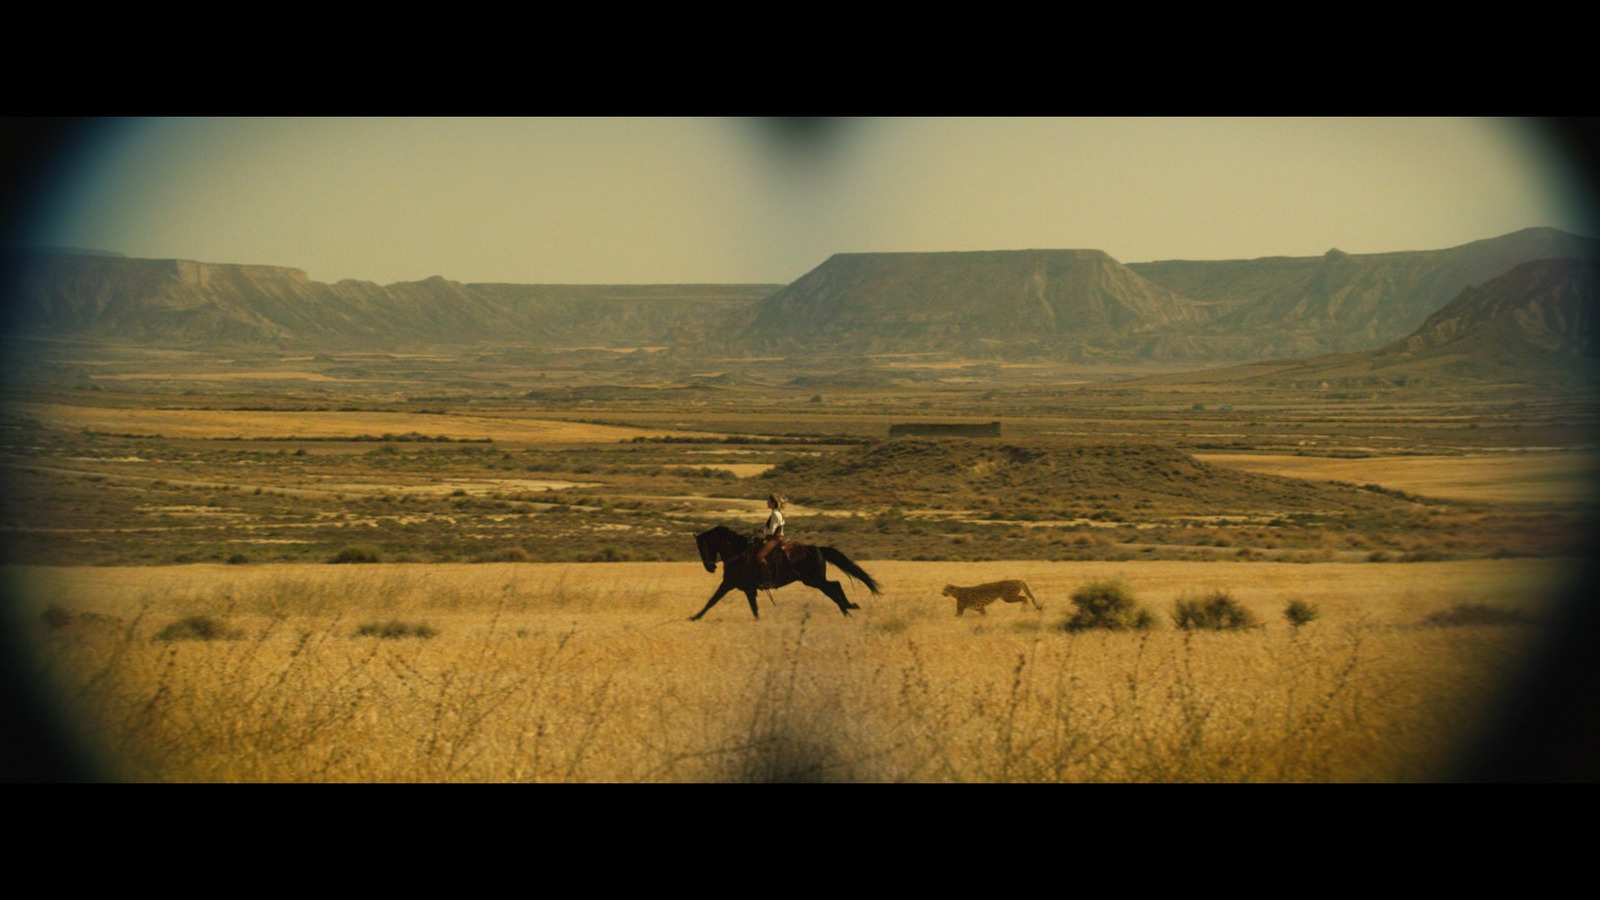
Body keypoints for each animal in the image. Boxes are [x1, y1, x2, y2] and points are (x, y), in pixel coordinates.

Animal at [691, 525, 883, 614]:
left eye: (702, 547)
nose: (709, 567)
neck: (737, 552)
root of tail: (818, 549)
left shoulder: (729, 583)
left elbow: (712, 600)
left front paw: (694, 617)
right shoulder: (748, 589)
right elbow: (754, 609)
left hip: (813, 580)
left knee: (834, 586)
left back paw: (847, 608)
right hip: (815, 580)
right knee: (834, 586)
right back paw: (849, 607)